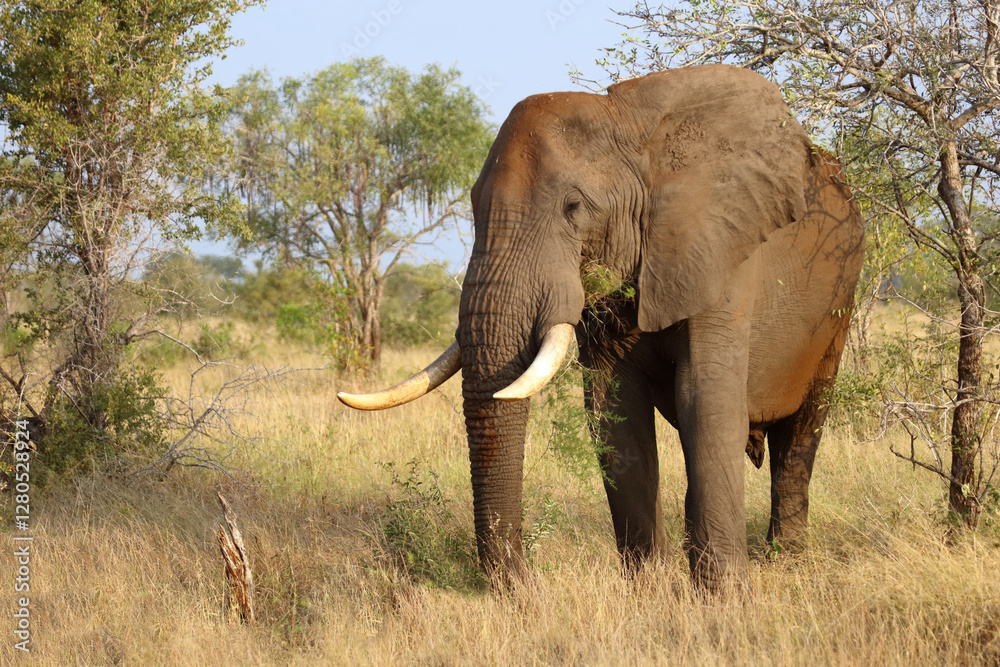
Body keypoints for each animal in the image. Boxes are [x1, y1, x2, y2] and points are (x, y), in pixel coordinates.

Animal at [339, 64, 865, 591]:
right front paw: (651, 590)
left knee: (800, 434)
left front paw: (724, 597)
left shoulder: (719, 249)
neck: (628, 124)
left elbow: (705, 399)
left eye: (574, 208)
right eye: (471, 205)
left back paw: (785, 560)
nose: (525, 587)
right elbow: (614, 409)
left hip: (839, 303)